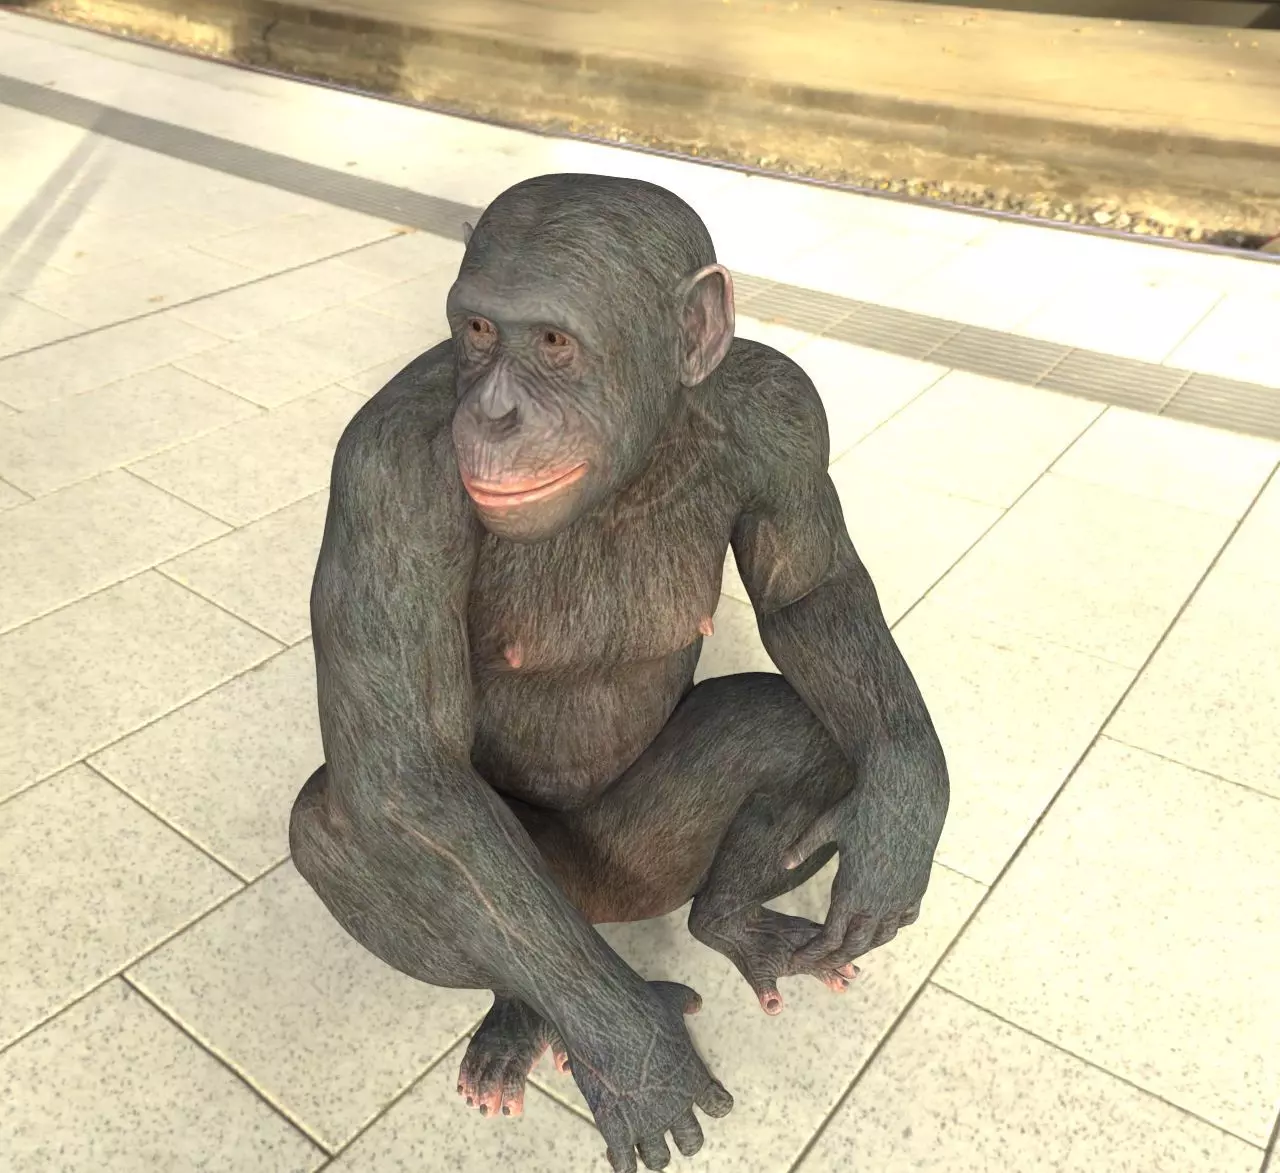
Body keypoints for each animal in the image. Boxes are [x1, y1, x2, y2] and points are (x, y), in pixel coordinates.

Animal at [290, 173, 949, 1173]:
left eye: (555, 342)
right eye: (477, 329)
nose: (494, 413)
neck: (634, 458)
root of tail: (603, 913)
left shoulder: (787, 411)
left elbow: (812, 592)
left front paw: (906, 810)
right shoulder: (383, 477)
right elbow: (407, 775)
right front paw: (638, 1056)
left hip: (651, 857)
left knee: (807, 723)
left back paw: (732, 921)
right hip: (550, 902)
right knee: (352, 831)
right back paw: (534, 1014)